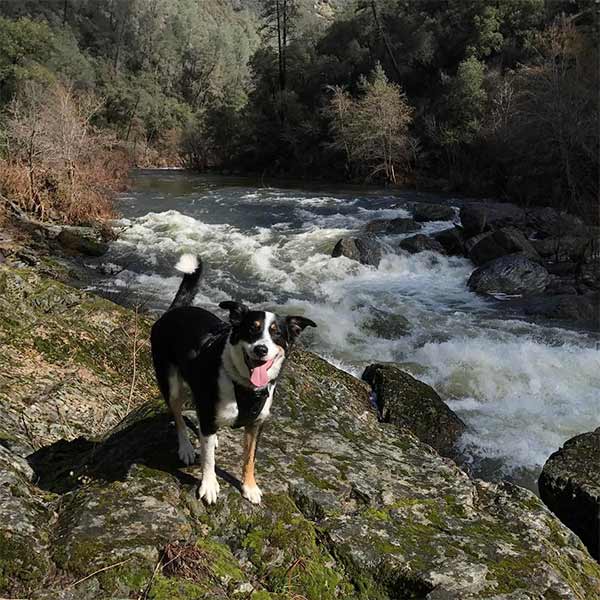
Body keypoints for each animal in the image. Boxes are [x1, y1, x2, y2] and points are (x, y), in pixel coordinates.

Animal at [150, 251, 316, 504]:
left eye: (277, 333)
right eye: (251, 329)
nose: (261, 349)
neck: (244, 385)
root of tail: (174, 310)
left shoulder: (256, 424)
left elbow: (249, 458)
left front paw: (249, 487)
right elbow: (208, 459)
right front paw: (209, 485)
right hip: (171, 383)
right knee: (178, 416)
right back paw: (186, 447)